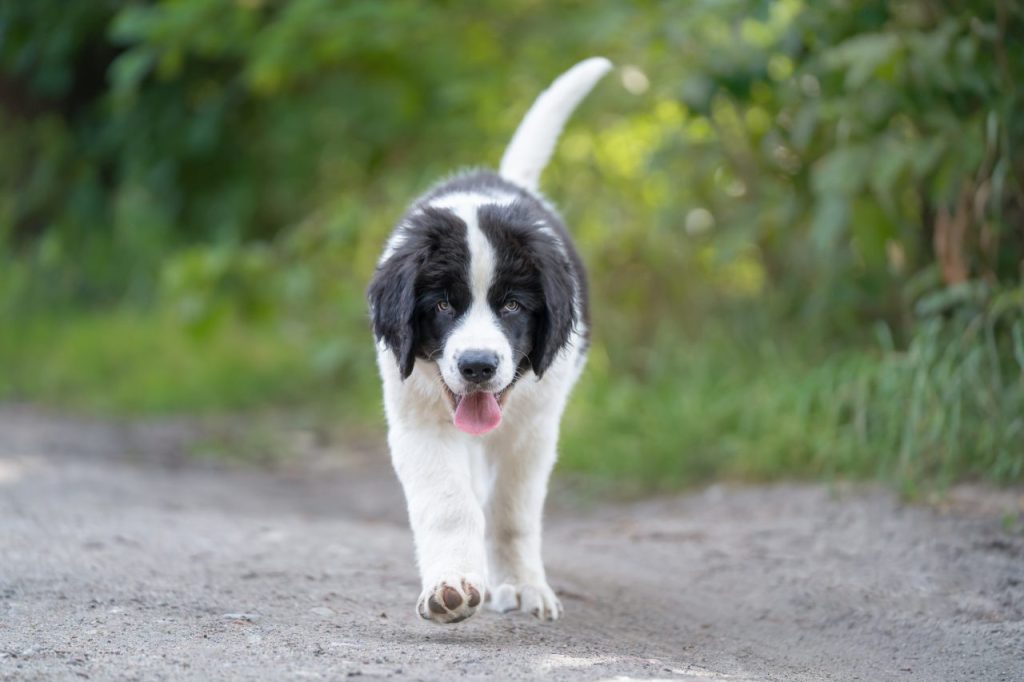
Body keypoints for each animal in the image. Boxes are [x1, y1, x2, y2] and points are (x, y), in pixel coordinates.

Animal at [366, 57, 606, 622]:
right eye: (441, 306)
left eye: (513, 306)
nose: (477, 366)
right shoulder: (419, 421)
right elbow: (449, 504)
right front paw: (451, 585)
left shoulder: (532, 427)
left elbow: (511, 511)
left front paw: (521, 584)